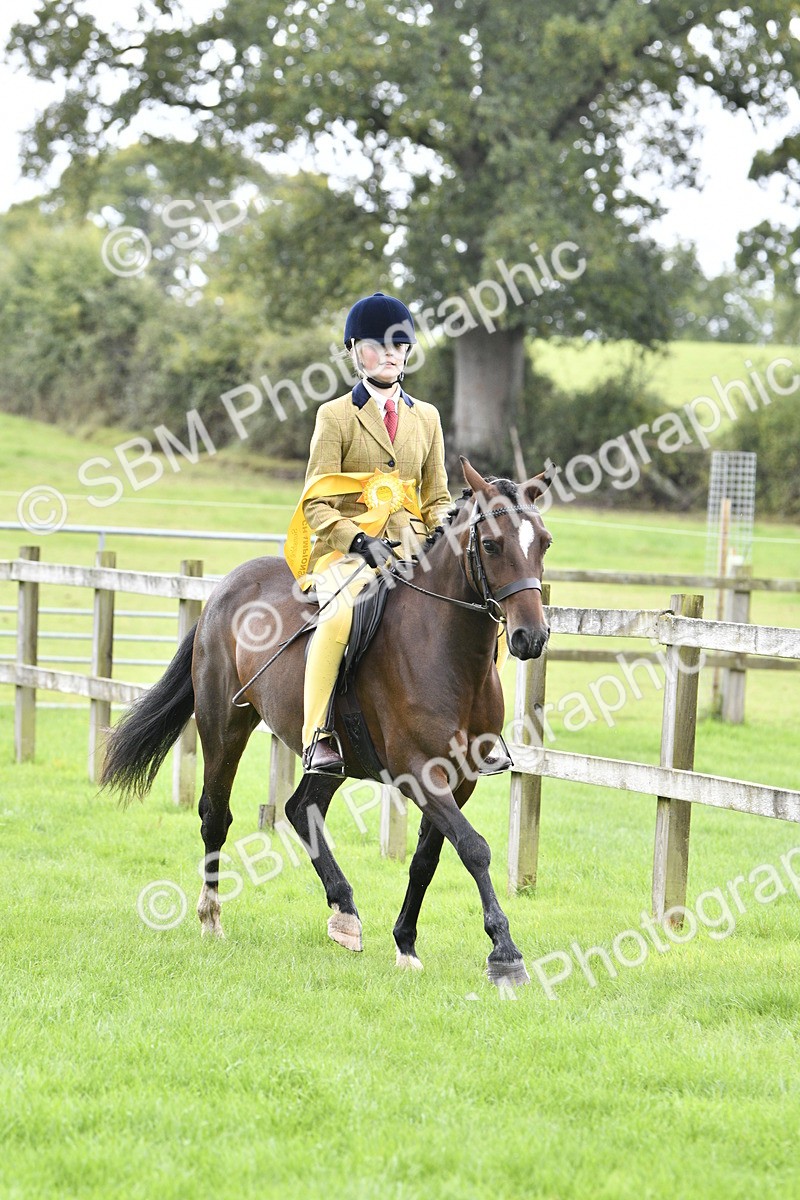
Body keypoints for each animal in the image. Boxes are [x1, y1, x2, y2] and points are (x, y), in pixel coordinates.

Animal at [101, 457, 552, 987]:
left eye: (544, 542)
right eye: (491, 545)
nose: (531, 637)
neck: (444, 649)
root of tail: (225, 588)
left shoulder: (460, 779)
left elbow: (428, 857)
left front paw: (406, 944)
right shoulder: (419, 771)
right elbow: (474, 848)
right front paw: (505, 953)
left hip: (334, 756)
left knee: (301, 808)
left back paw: (345, 913)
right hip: (223, 725)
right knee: (216, 814)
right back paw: (212, 918)